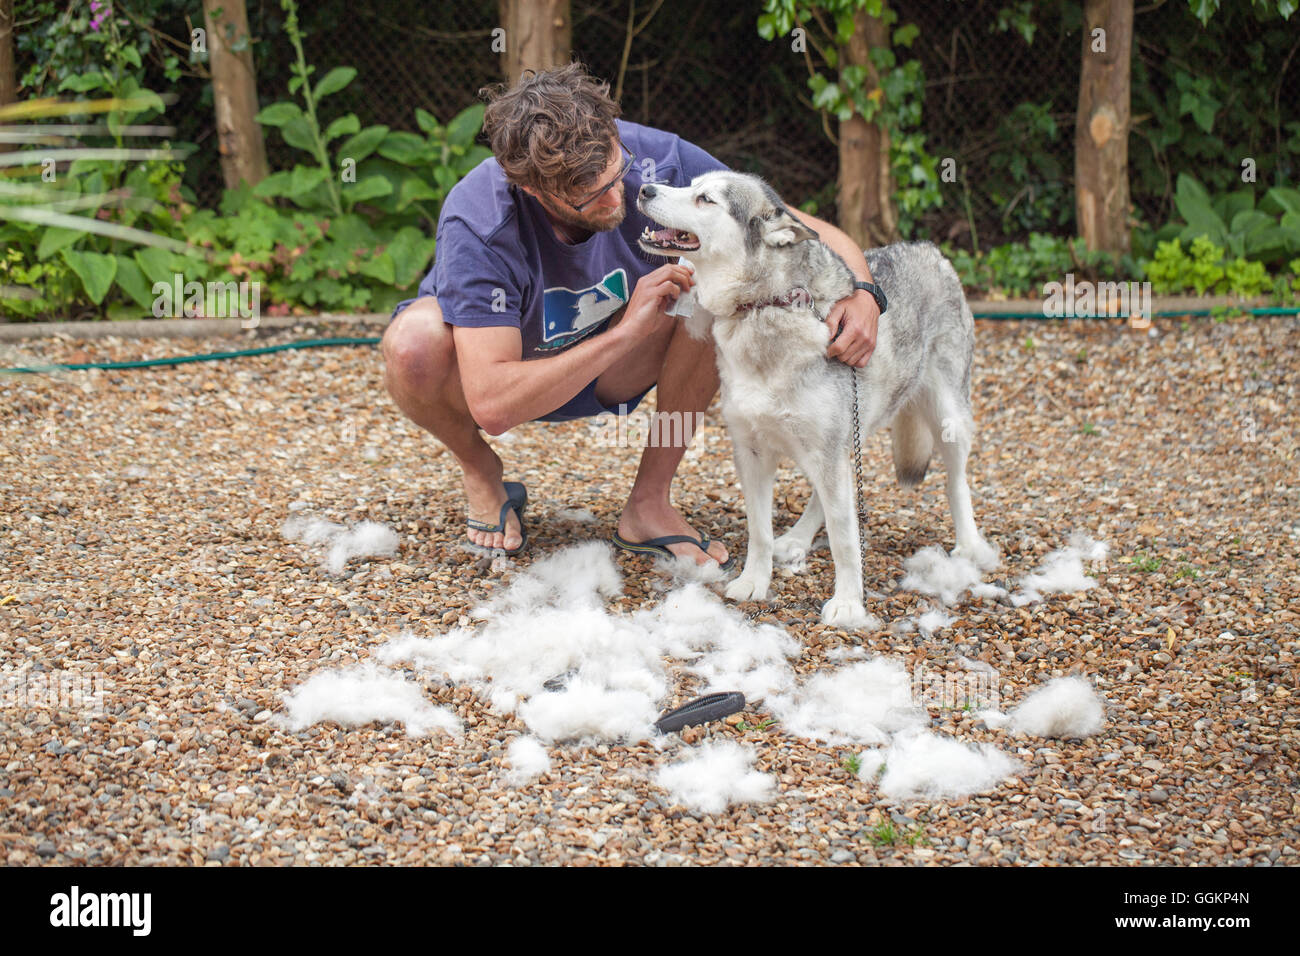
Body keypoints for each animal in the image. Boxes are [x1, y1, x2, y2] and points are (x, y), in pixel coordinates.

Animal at [639, 171, 993, 629]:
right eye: (690, 185)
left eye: (705, 199)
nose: (644, 189)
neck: (765, 306)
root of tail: (928, 248)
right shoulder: (752, 453)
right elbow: (759, 531)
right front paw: (754, 581)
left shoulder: (826, 453)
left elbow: (845, 542)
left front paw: (848, 603)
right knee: (824, 498)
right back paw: (797, 538)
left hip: (945, 420)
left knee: (955, 482)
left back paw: (969, 545)